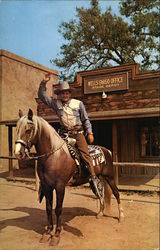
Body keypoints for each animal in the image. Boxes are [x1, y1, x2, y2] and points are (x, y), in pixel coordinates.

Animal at [14, 109, 124, 246]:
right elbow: (48, 208)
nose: (18, 153)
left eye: (28, 130)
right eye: (17, 128)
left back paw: (121, 216)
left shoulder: (60, 186)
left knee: (116, 193)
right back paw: (100, 213)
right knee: (101, 192)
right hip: (97, 179)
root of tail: (107, 151)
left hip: (109, 177)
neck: (54, 155)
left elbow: (58, 209)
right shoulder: (46, 186)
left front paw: (56, 235)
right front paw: (47, 233)